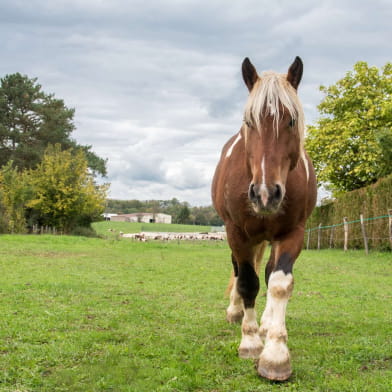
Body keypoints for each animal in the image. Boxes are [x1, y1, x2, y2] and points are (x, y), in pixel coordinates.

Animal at [213, 56, 316, 382]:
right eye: (249, 122)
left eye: (291, 121)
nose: (265, 194)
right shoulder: (237, 233)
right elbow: (247, 282)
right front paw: (249, 341)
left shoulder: (293, 233)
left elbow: (280, 284)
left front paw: (275, 354)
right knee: (239, 271)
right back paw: (237, 313)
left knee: (270, 274)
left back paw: (268, 323)